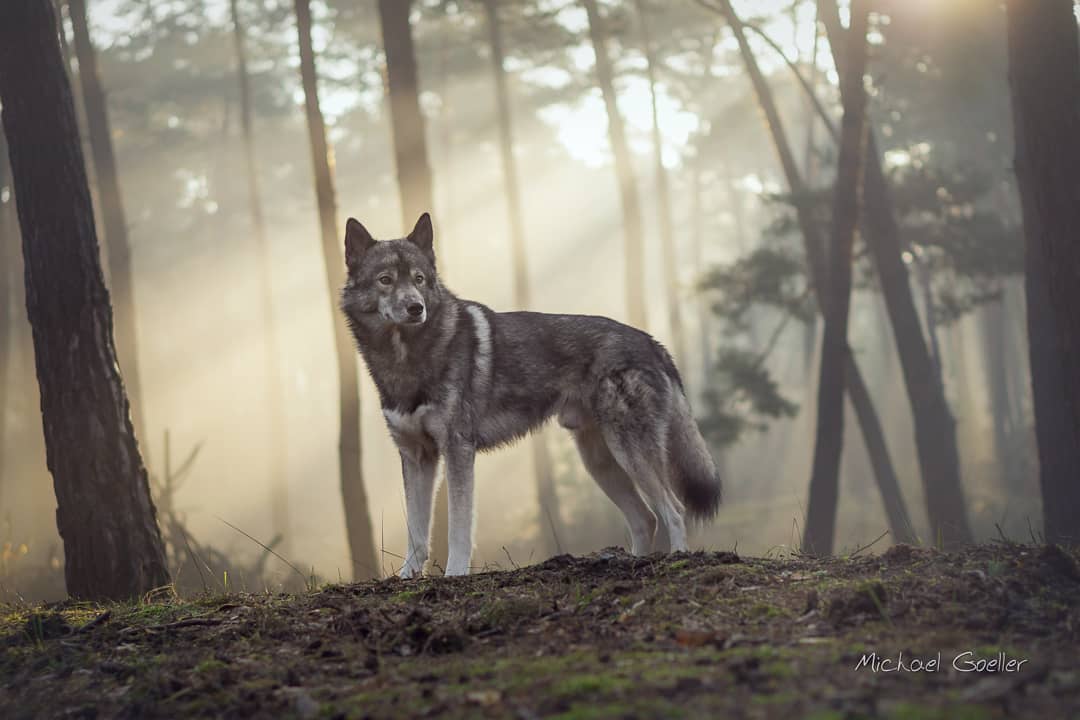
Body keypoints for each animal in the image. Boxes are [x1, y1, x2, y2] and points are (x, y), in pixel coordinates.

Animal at [341, 211, 721, 578]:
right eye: (386, 280)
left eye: (418, 279)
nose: (415, 307)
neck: (407, 359)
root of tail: (652, 342)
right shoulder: (416, 456)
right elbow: (417, 533)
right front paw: (406, 577)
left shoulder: (458, 450)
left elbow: (459, 528)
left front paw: (455, 575)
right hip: (600, 462)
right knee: (645, 518)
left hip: (630, 454)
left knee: (673, 510)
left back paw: (678, 559)